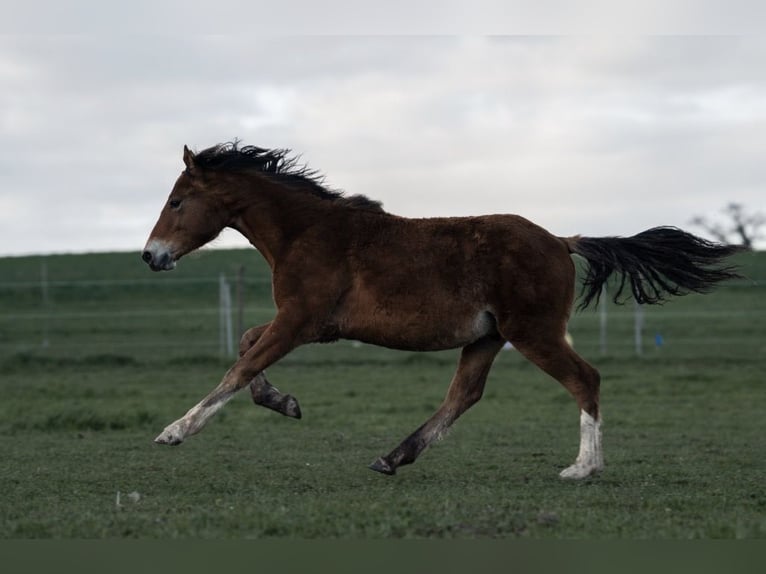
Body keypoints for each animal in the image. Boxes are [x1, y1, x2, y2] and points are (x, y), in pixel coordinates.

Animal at [142, 141, 742, 479]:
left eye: (176, 200)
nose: (151, 255)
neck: (307, 233)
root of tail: (560, 240)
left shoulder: (301, 320)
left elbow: (240, 365)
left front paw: (174, 431)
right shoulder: (307, 322)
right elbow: (247, 345)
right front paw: (285, 403)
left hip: (534, 332)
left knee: (584, 379)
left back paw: (583, 468)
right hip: (487, 337)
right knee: (464, 395)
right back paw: (393, 457)